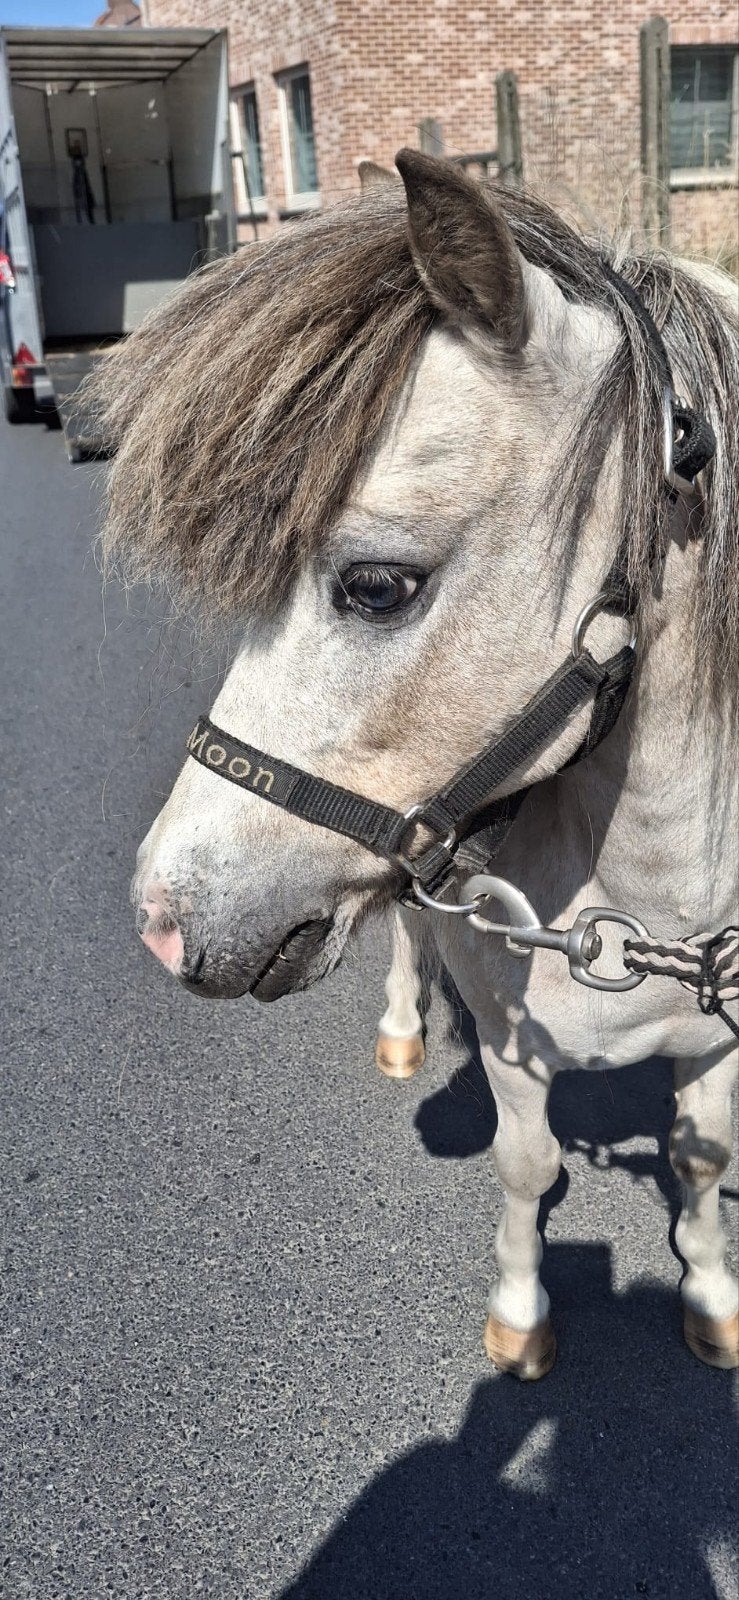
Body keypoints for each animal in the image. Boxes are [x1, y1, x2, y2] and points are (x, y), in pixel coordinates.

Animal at [92, 149, 739, 1380]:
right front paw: (521, 1316)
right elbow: (528, 1168)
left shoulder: (721, 1031)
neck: (648, 900)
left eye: (376, 584)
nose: (161, 919)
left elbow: (700, 1157)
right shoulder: (513, 1041)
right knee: (403, 935)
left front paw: (713, 1296)